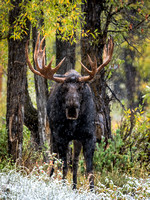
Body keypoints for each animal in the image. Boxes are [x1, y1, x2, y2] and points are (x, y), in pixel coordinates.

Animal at [25, 34, 113, 189]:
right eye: (64, 88)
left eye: (80, 88)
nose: (72, 106)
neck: (73, 124)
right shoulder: (61, 136)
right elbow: (64, 165)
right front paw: (62, 186)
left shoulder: (88, 136)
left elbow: (89, 169)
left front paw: (91, 190)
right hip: (53, 133)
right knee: (54, 158)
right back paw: (51, 178)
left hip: (76, 139)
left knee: (75, 161)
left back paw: (74, 186)